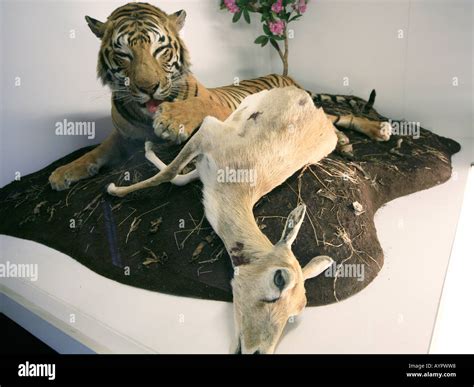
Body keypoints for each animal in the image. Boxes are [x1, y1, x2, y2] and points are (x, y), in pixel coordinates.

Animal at [48, 1, 390, 192]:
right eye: (123, 53)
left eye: (160, 49)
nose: (148, 87)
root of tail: (286, 75)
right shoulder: (123, 136)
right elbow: (96, 152)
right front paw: (64, 172)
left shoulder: (221, 112)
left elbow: (197, 106)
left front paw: (173, 119)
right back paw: (345, 141)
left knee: (343, 116)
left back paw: (379, 129)